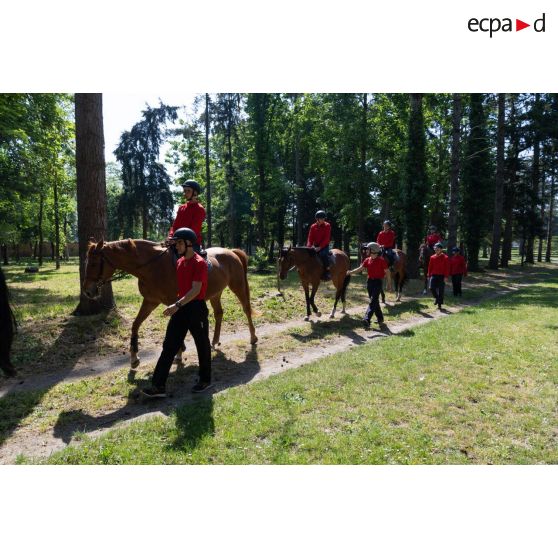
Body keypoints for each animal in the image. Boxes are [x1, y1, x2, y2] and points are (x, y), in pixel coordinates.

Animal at [84, 238, 260, 370]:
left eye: (93, 263)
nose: (87, 291)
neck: (152, 266)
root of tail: (231, 252)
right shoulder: (151, 302)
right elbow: (135, 325)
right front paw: (134, 357)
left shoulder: (173, 303)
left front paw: (179, 352)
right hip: (215, 293)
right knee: (219, 313)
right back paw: (215, 341)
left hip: (238, 286)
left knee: (246, 309)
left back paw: (253, 337)